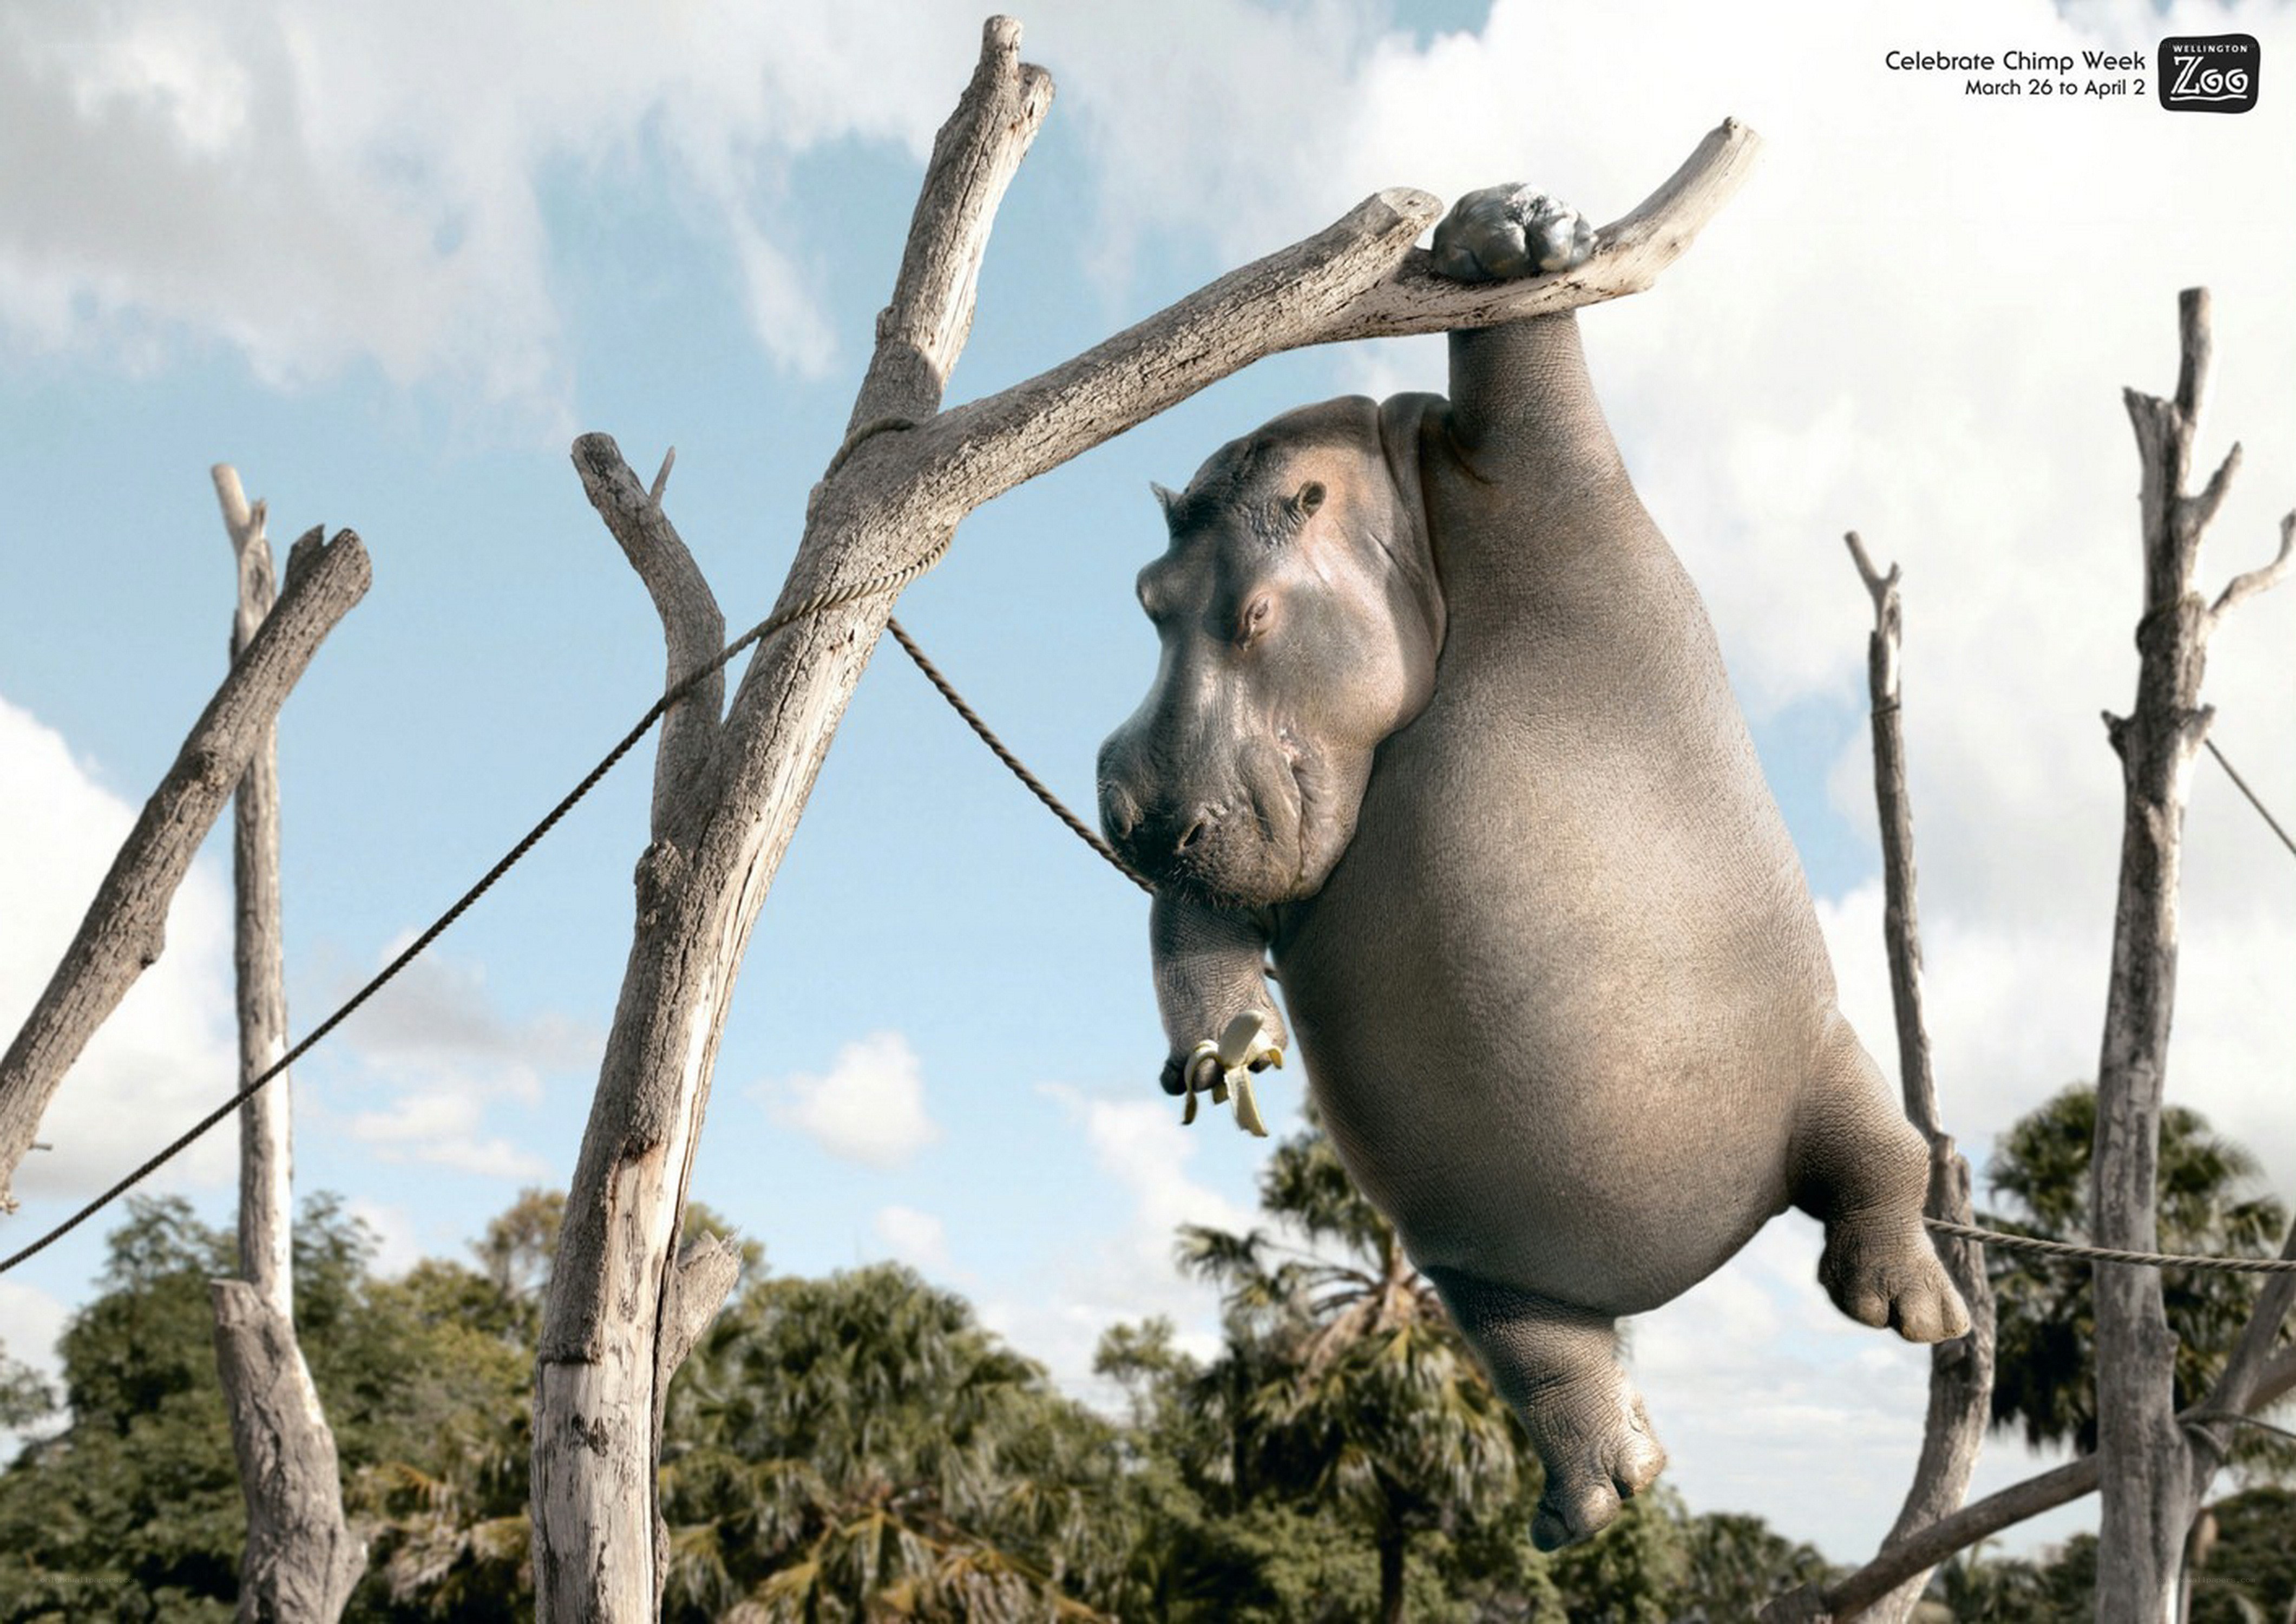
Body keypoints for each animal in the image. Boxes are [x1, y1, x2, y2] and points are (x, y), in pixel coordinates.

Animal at [1095, 187, 1969, 1551]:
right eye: (1148, 595)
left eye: (1253, 614)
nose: (1128, 813)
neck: (1388, 508)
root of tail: (1683, 1266)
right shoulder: (1239, 847)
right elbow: (1197, 929)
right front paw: (1219, 1058)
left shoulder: (1535, 464)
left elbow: (1528, 360)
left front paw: (1507, 233)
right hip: (1482, 1265)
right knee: (1556, 1363)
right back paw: (1596, 1505)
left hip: (1827, 1057)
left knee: (1886, 1165)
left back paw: (1914, 1314)